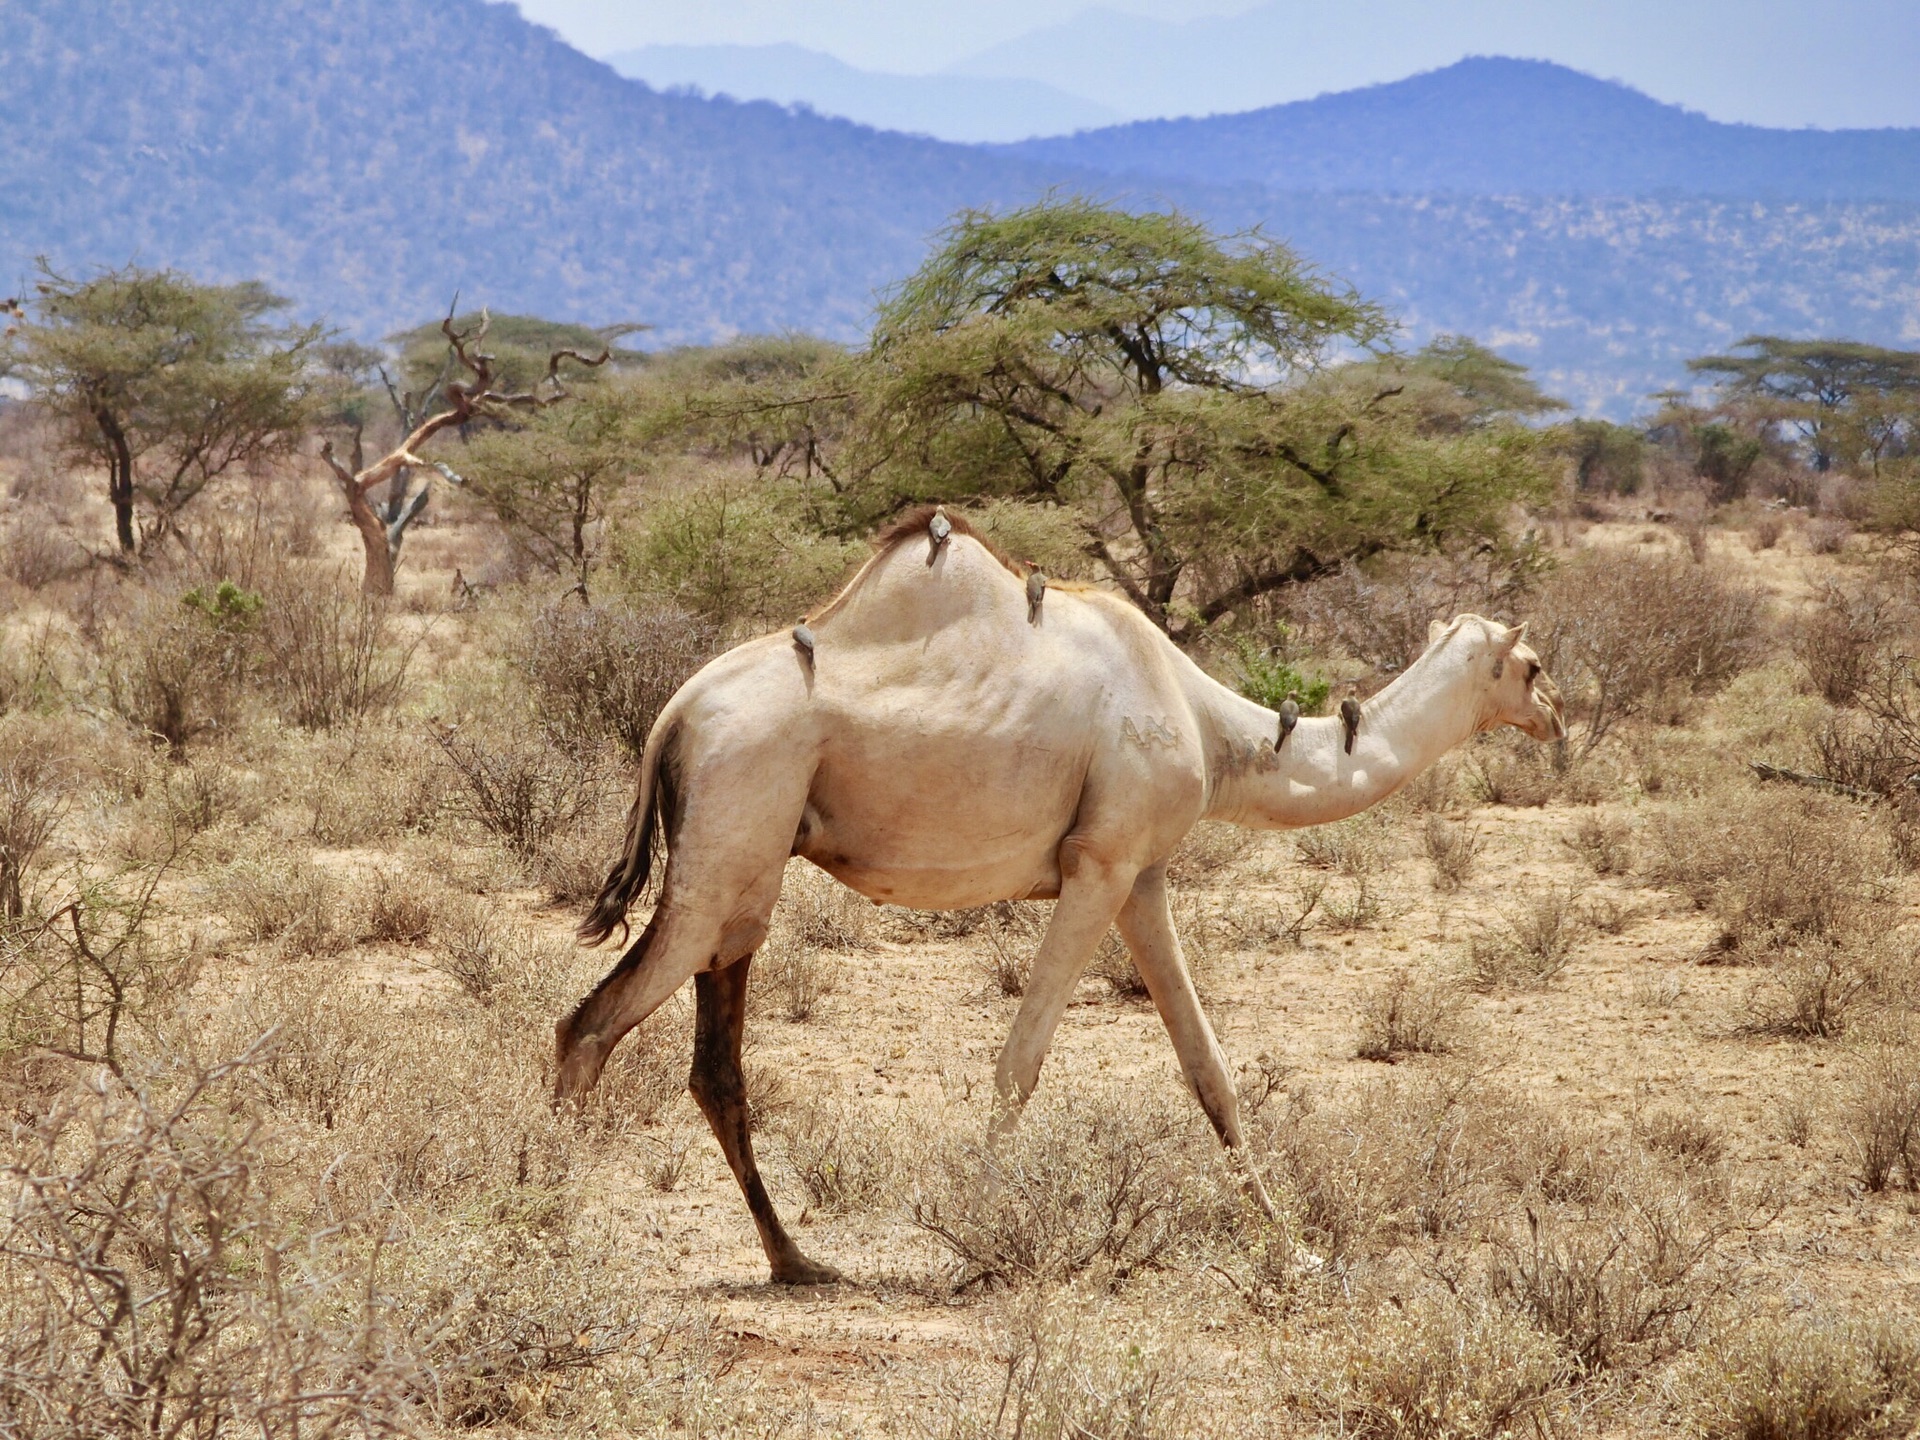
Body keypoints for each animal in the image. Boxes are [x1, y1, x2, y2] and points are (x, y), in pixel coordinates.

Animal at [552, 506, 1559, 1282]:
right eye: (1535, 665)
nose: (1558, 717)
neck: (1209, 724)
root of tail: (673, 715)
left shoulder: (1142, 875)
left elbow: (1209, 1068)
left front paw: (1296, 1249)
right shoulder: (1099, 864)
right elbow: (1020, 1062)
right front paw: (978, 1234)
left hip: (746, 876)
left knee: (712, 1064)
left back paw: (797, 1261)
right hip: (728, 833)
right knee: (589, 1026)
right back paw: (544, 1220)